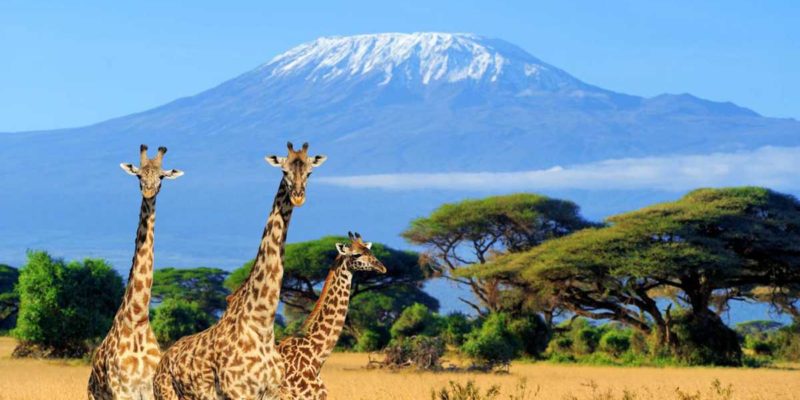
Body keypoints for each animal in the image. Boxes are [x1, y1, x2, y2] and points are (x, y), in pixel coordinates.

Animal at [88, 144, 184, 400]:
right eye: (139, 176)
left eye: (161, 177)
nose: (149, 192)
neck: (138, 319)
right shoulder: (122, 391)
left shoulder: (150, 389)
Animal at [153, 142, 326, 400]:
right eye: (284, 171)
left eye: (309, 172)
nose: (298, 197)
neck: (261, 324)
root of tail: (162, 363)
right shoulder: (238, 392)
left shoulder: (271, 392)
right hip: (165, 394)